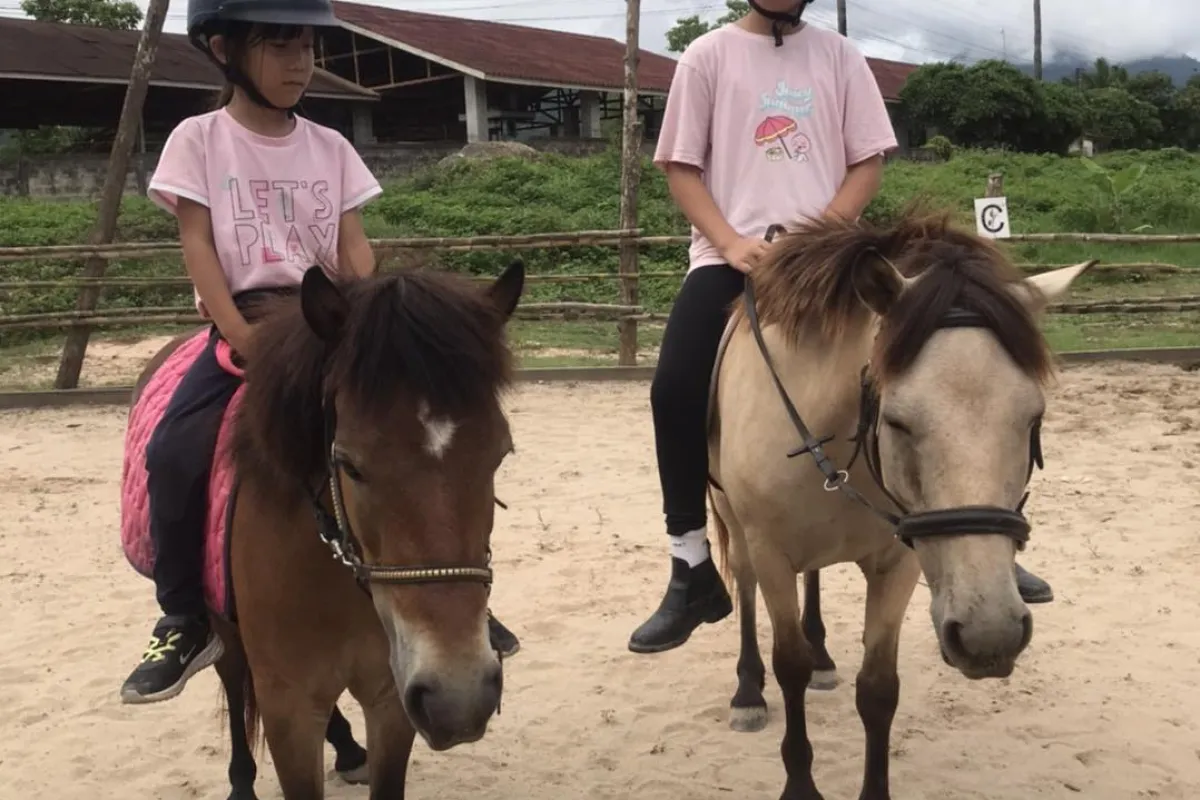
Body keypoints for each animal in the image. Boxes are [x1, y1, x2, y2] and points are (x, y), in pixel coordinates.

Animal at [704, 209, 1093, 799]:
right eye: (898, 421)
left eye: (1034, 419)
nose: (990, 636)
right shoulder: (771, 551)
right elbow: (788, 664)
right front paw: (799, 782)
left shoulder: (900, 563)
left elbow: (879, 687)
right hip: (735, 523)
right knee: (745, 586)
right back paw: (748, 692)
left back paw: (822, 657)